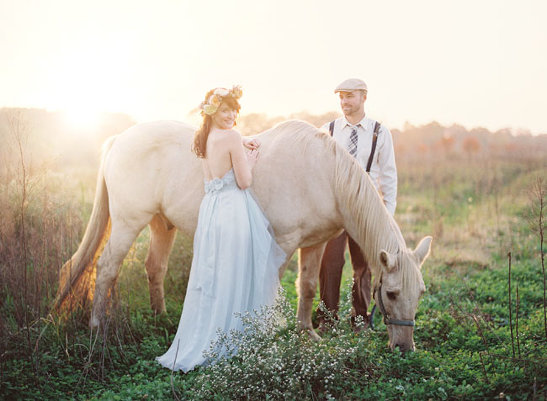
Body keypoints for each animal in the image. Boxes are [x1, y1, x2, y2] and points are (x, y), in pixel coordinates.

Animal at [55, 119, 432, 350]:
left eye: (421, 293)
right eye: (392, 293)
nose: (403, 348)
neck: (324, 174)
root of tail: (119, 139)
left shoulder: (315, 244)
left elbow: (308, 286)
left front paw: (307, 334)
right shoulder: (283, 243)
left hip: (161, 225)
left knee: (154, 268)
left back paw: (161, 321)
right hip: (127, 223)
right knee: (106, 268)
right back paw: (97, 329)